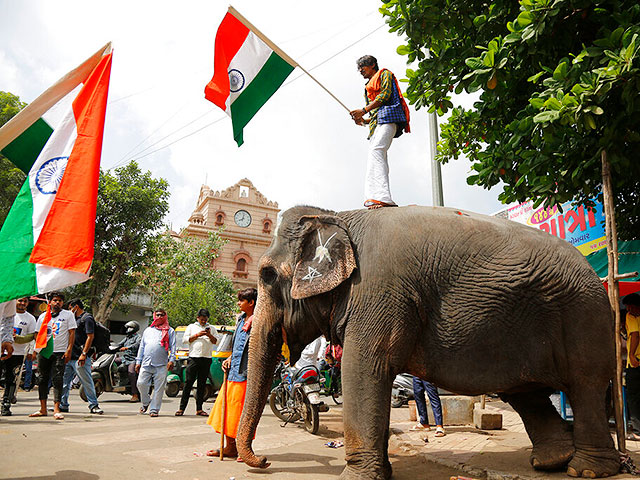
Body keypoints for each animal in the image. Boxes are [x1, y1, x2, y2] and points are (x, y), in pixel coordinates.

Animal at [235, 204, 620, 478]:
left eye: (267, 275)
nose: (264, 460)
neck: (337, 216)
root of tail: (595, 272)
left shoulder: (377, 293)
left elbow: (364, 369)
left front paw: (356, 477)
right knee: (525, 392)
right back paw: (551, 462)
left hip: (584, 316)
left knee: (585, 385)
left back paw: (586, 469)